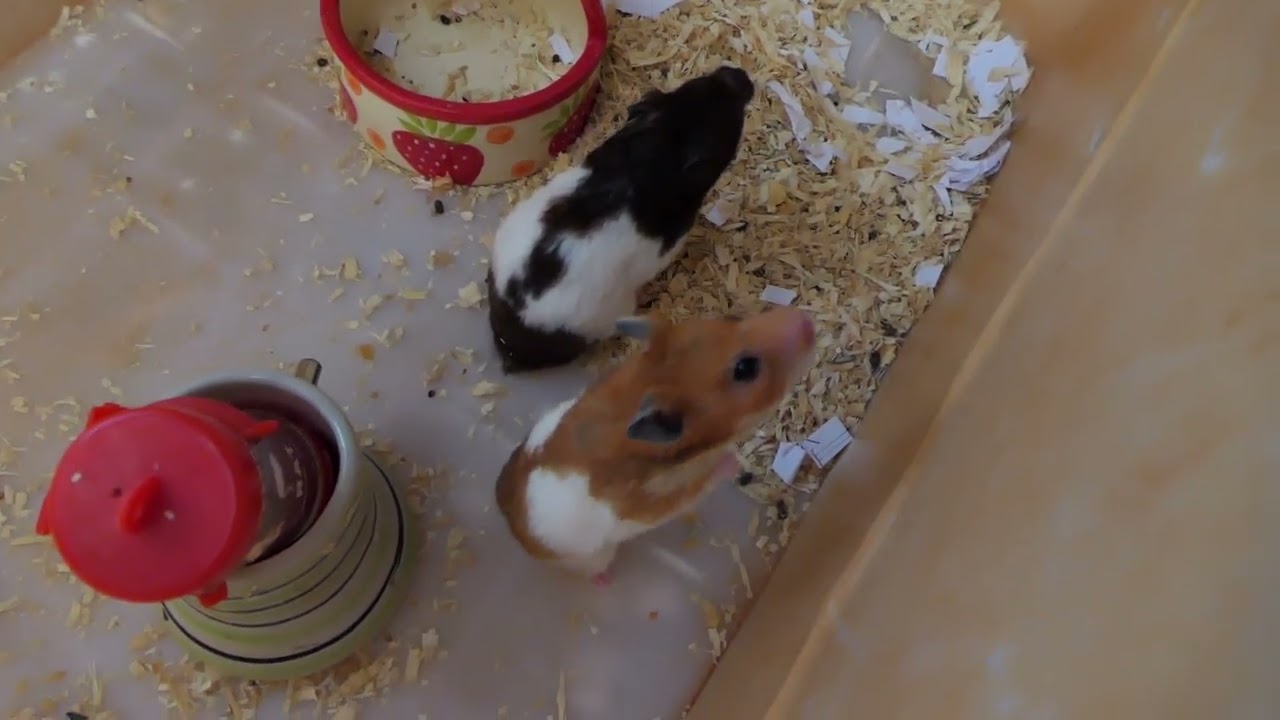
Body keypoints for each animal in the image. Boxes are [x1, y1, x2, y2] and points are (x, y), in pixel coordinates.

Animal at [495, 306, 816, 586]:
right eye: (745, 368)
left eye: (732, 318)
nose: (805, 320)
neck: (644, 384)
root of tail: (511, 525)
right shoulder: (663, 499)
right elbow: (704, 480)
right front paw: (732, 461)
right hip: (589, 556)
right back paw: (603, 581)